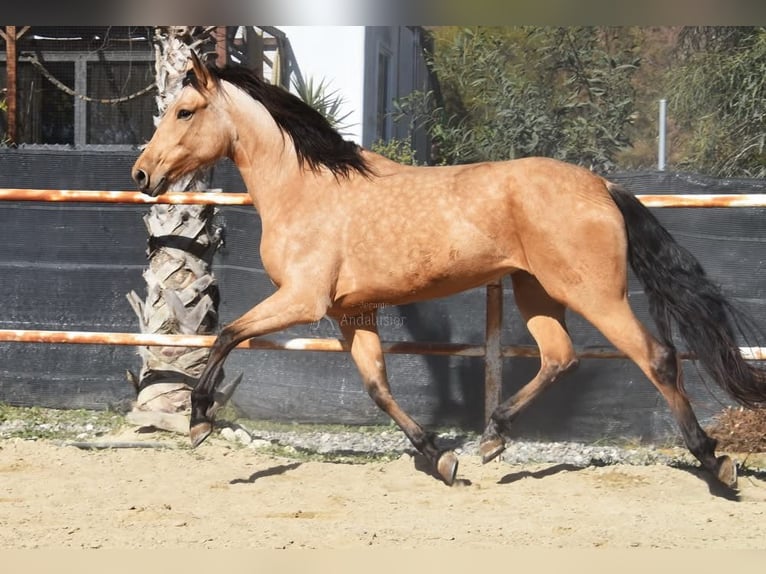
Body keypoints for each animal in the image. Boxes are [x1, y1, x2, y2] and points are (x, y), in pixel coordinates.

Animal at [132, 54, 766, 492]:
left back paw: (716, 463)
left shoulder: (302, 300)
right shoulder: (350, 313)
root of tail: (602, 186)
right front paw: (440, 457)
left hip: (594, 294)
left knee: (656, 357)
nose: (141, 174)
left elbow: (227, 334)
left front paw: (198, 419)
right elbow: (378, 387)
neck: (305, 188)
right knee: (559, 356)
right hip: (536, 291)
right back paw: (492, 438)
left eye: (185, 111)